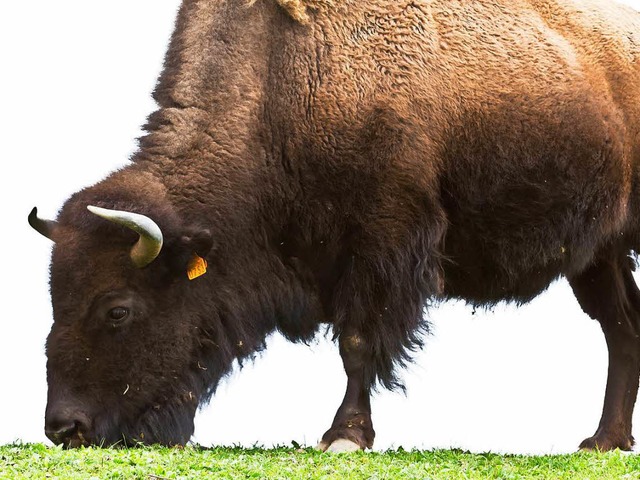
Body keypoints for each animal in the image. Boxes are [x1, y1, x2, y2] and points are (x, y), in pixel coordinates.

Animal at [30, 0, 640, 452]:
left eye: (118, 310)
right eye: (56, 298)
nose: (64, 428)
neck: (281, 79)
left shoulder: (380, 247)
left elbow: (357, 342)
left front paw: (344, 435)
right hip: (599, 254)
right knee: (621, 326)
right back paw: (602, 441)